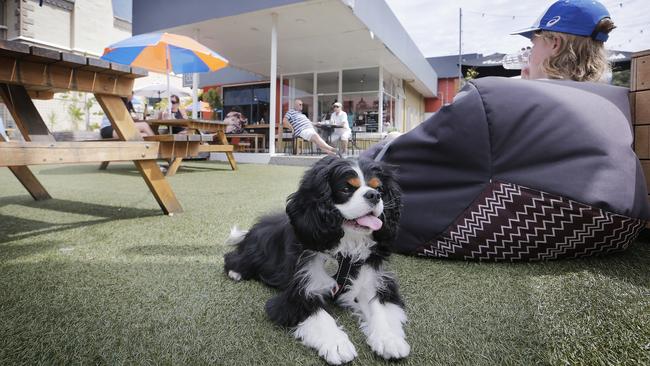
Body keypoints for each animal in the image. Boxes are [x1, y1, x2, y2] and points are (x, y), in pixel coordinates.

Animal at [223, 156, 404, 364]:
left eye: (379, 188)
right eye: (346, 188)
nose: (374, 195)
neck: (345, 247)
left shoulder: (375, 281)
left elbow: (379, 307)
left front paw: (389, 339)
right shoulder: (297, 294)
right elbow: (319, 314)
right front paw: (337, 344)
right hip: (255, 252)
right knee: (234, 258)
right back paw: (235, 272)